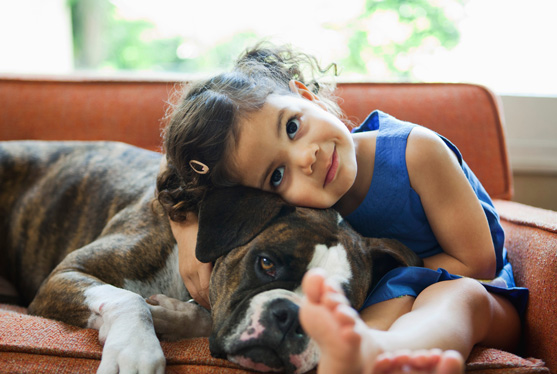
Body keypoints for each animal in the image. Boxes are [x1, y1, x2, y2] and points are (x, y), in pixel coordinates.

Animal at [0, 141, 420, 374]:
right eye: (266, 263)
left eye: (341, 303)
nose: (292, 317)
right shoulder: (68, 273)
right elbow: (129, 298)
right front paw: (136, 350)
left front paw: (172, 316)